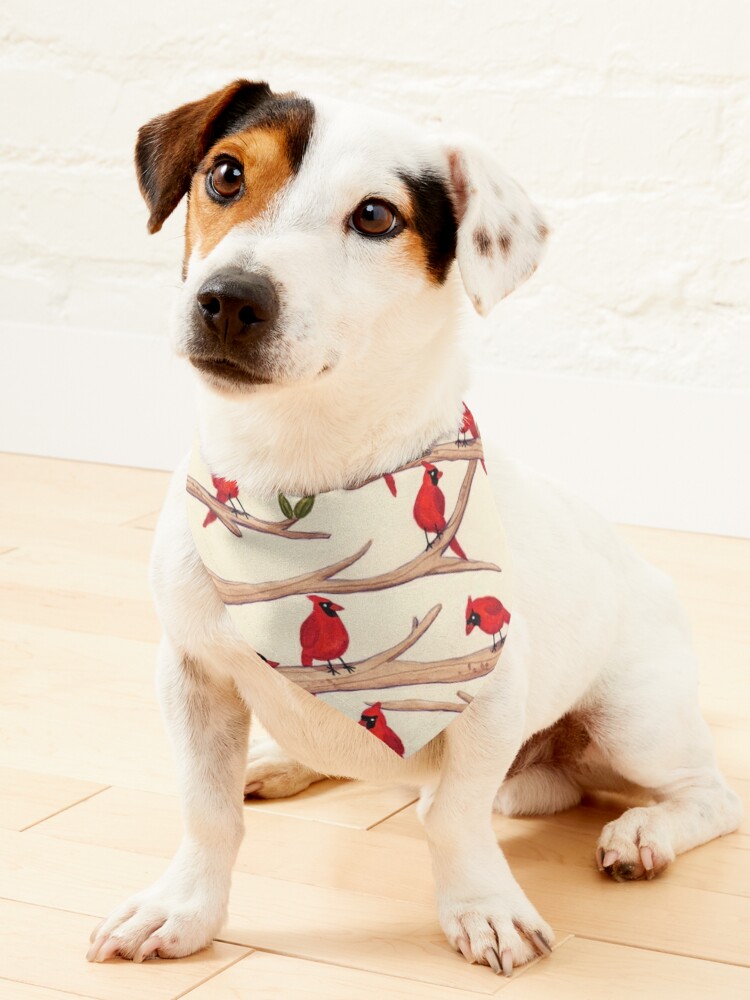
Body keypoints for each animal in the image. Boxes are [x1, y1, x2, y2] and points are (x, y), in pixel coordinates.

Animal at [85, 82, 744, 972]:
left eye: (375, 216)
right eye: (225, 174)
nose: (229, 298)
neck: (295, 467)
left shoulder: (490, 696)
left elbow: (452, 817)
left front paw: (483, 908)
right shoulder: (192, 677)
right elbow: (207, 810)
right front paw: (183, 909)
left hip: (635, 719)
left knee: (708, 796)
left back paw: (644, 833)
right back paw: (282, 760)